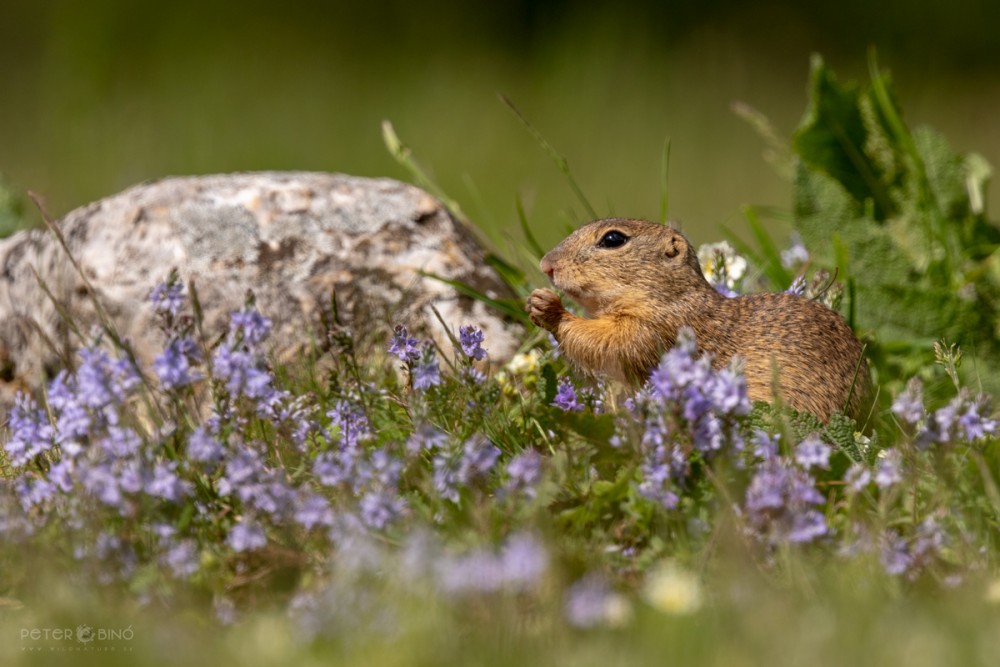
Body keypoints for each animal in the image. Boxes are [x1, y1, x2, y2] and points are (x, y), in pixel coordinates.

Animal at [528, 218, 872, 422]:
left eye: (613, 239)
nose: (545, 264)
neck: (672, 296)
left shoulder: (655, 328)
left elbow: (608, 342)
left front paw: (549, 307)